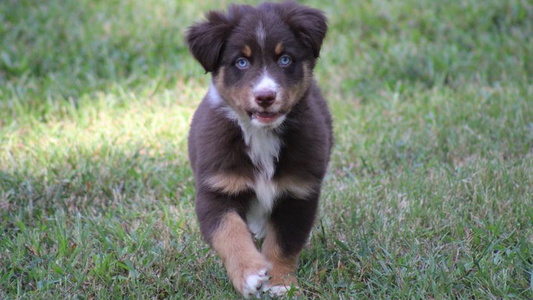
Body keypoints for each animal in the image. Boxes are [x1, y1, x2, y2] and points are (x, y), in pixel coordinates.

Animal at [185, 1, 330, 298]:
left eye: (285, 59)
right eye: (241, 62)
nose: (265, 97)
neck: (261, 135)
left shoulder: (298, 193)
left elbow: (284, 242)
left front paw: (280, 282)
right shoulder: (217, 189)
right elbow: (229, 232)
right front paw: (249, 274)